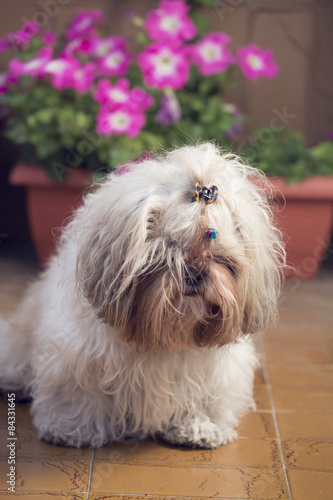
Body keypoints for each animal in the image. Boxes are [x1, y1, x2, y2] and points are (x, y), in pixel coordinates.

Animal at [0, 143, 286, 448]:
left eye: (220, 258)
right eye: (166, 253)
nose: (195, 272)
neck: (163, 339)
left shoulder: (213, 376)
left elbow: (203, 400)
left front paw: (199, 427)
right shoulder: (78, 359)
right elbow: (82, 397)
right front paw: (73, 429)